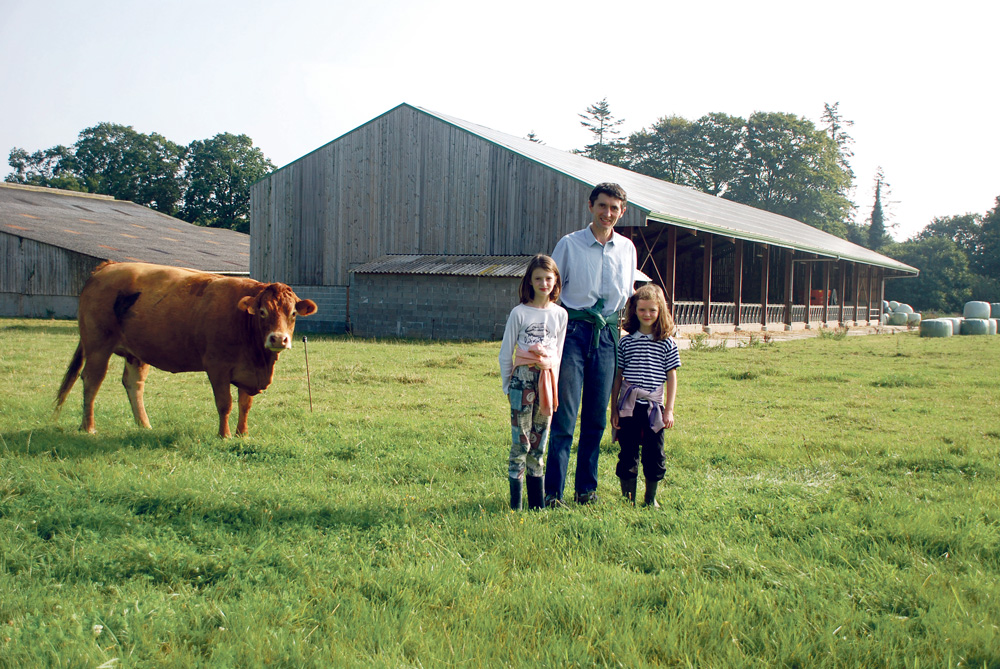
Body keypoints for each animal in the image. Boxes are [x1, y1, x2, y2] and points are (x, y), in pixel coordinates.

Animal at [53, 260, 316, 438]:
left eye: (293, 313)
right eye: (262, 312)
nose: (278, 339)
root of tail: (107, 267)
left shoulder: (248, 371)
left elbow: (245, 404)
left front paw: (243, 434)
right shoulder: (217, 367)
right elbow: (225, 403)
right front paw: (224, 435)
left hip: (136, 352)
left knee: (133, 383)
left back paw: (144, 425)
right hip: (98, 345)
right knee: (91, 380)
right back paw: (88, 427)